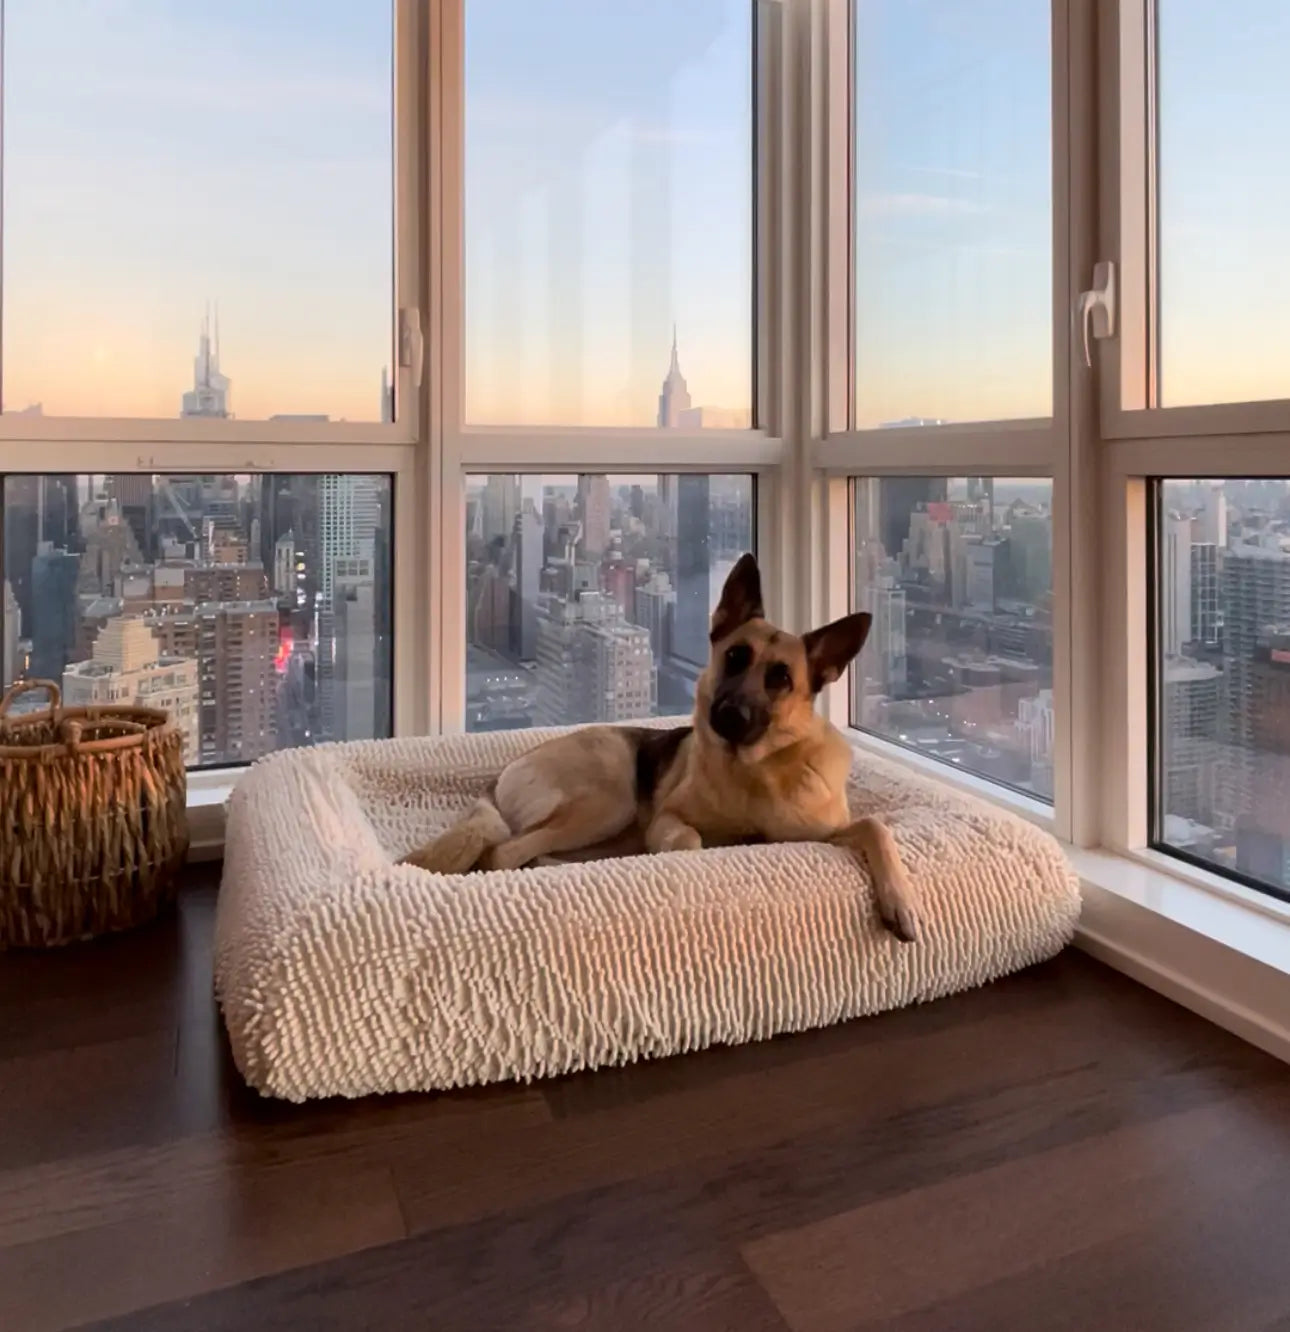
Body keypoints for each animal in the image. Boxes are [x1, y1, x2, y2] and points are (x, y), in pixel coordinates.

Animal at [402, 556, 916, 943]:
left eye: (781, 679)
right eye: (736, 657)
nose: (730, 715)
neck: (753, 772)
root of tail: (502, 775)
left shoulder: (825, 832)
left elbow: (875, 827)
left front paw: (900, 900)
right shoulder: (669, 819)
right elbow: (689, 841)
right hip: (610, 799)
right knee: (502, 855)